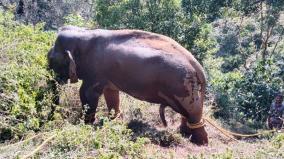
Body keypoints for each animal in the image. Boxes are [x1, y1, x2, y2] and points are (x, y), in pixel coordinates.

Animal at [47, 26, 209, 145]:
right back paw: (184, 133)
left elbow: (87, 93)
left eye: (52, 60)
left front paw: (86, 126)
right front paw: (114, 121)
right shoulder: (106, 74)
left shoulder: (95, 71)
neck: (83, 32)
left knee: (193, 113)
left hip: (183, 87)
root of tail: (198, 66)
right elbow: (111, 93)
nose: (51, 119)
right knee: (188, 113)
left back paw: (200, 142)